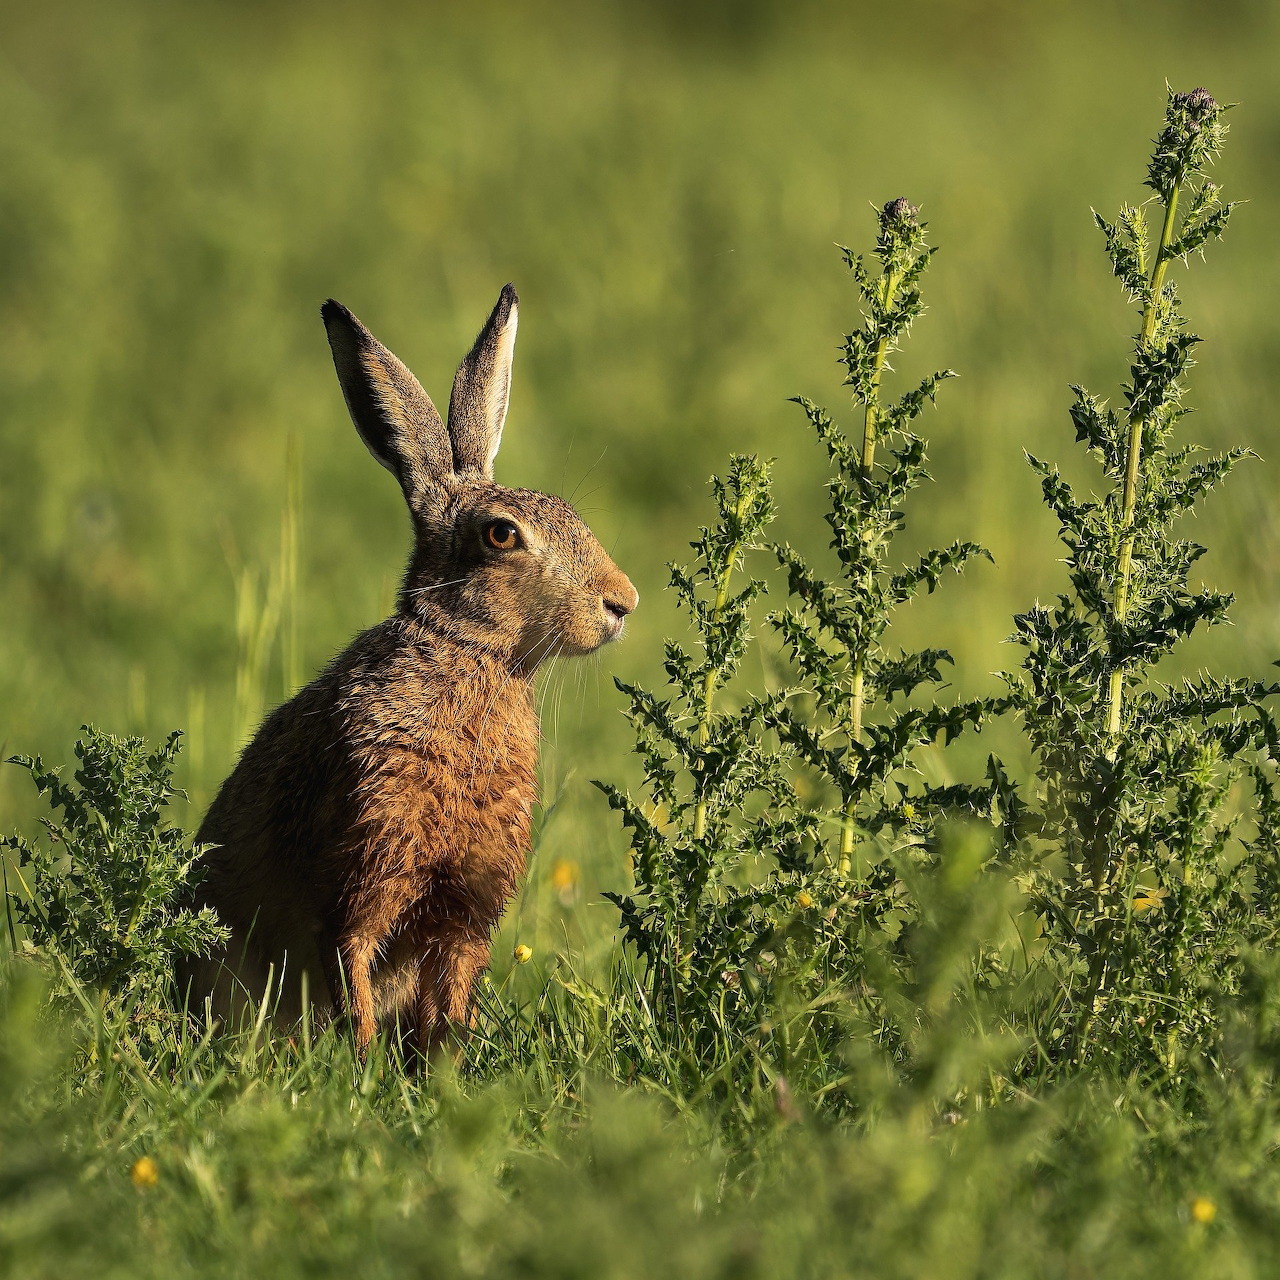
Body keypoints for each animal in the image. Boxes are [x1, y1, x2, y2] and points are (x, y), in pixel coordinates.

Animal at [183, 284, 637, 1057]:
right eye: (501, 535)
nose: (622, 602)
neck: (469, 657)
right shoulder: (364, 870)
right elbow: (353, 966)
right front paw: (363, 1063)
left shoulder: (465, 910)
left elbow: (450, 994)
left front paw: (445, 1067)